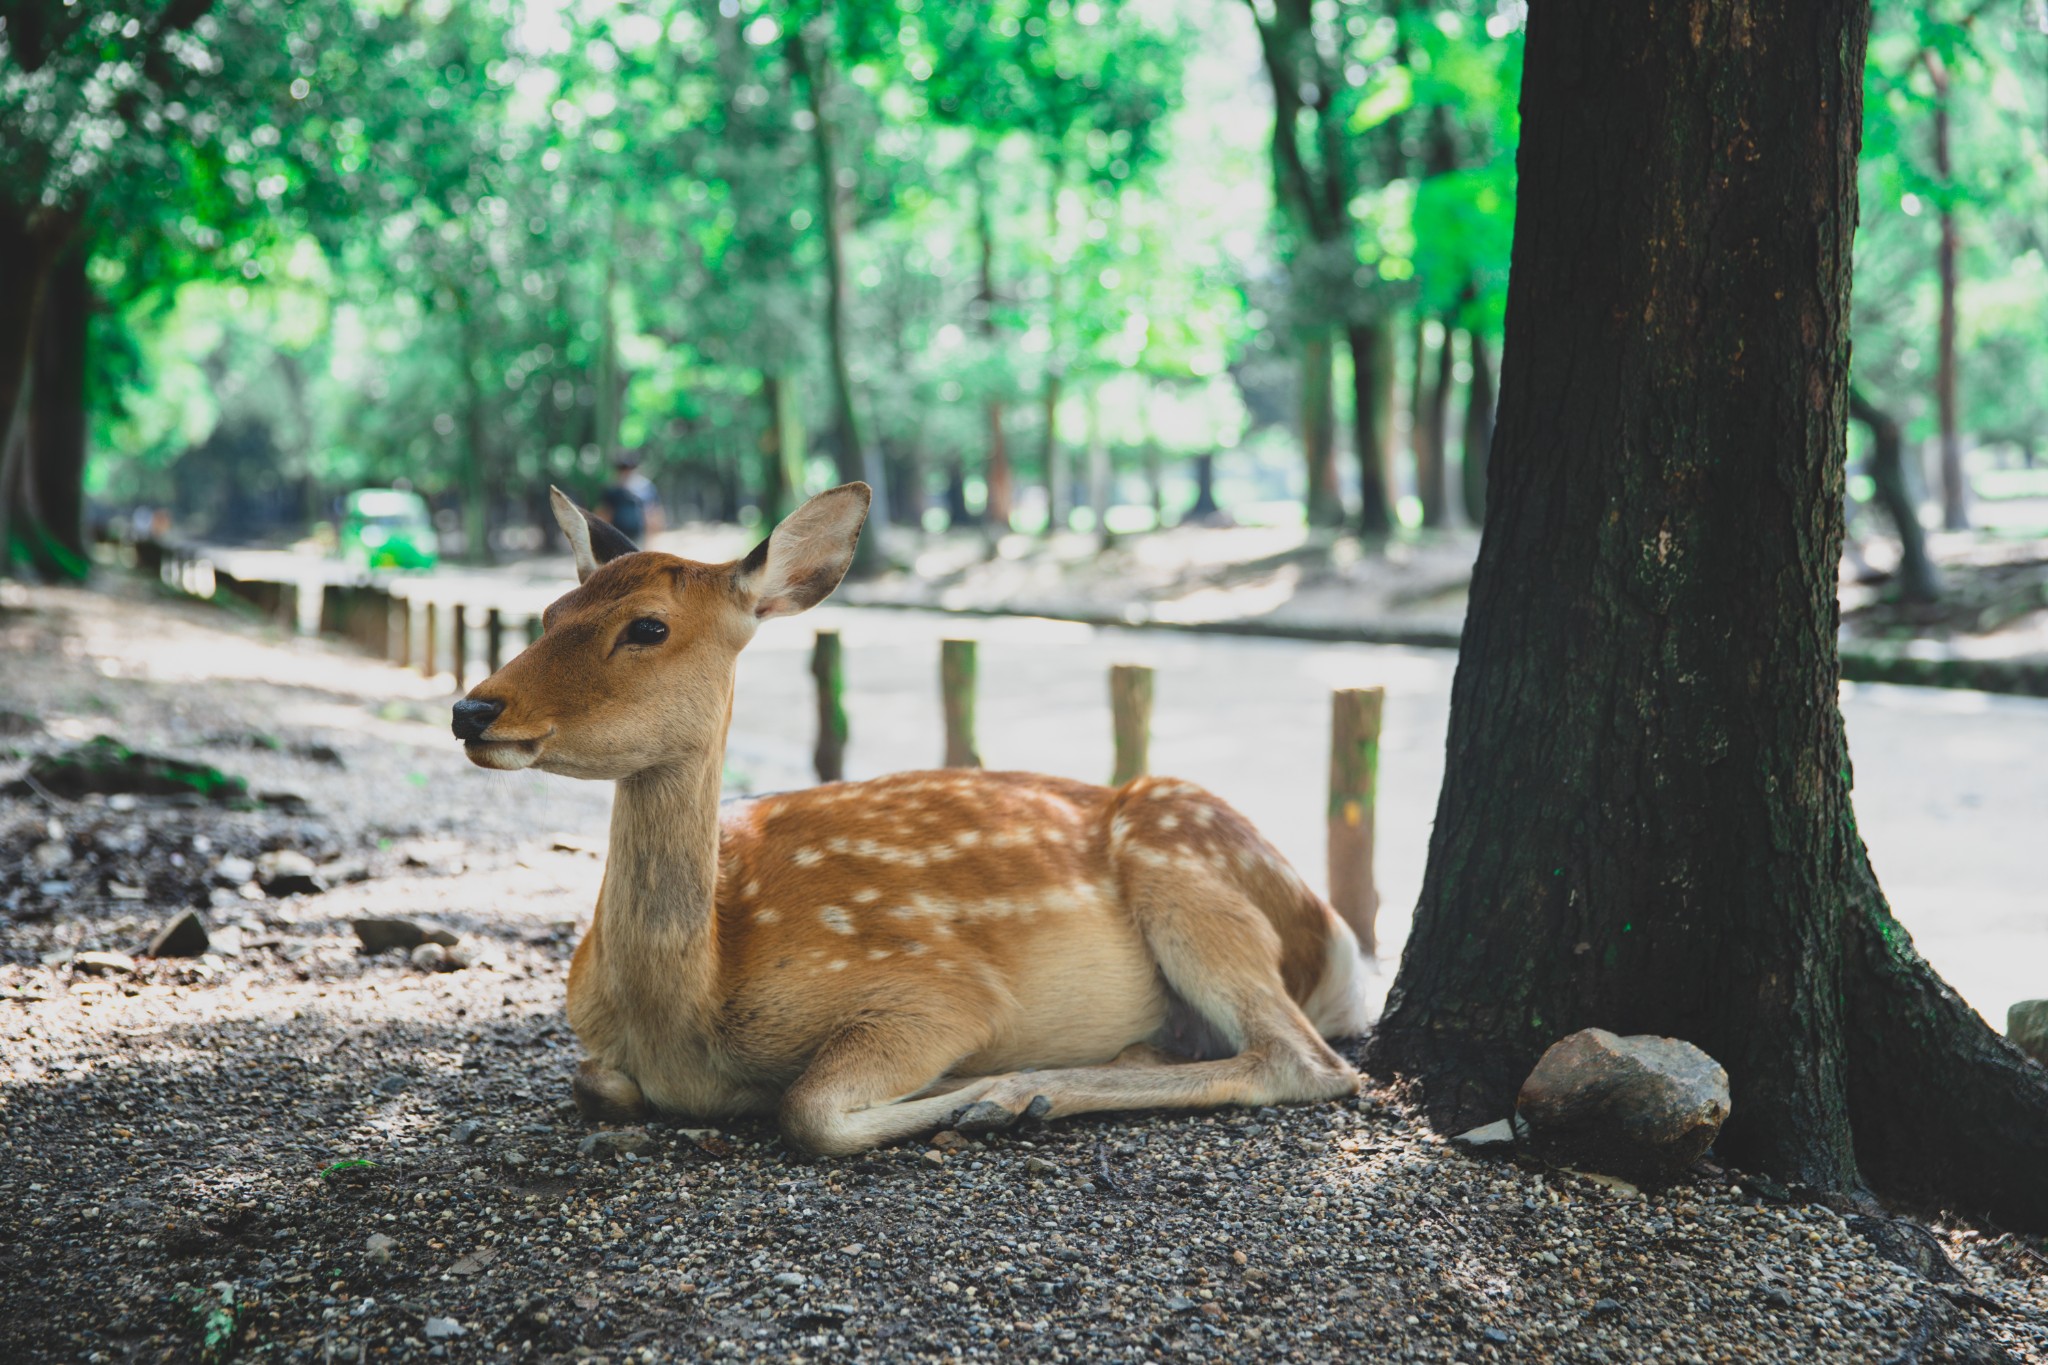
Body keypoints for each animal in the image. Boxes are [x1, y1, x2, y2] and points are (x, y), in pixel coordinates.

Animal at [456, 485, 1368, 1162]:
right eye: (550, 611)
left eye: (648, 625)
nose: (472, 708)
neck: (685, 1016)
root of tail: (1338, 942)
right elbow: (594, 1081)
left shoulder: (939, 990)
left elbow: (808, 1107)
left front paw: (969, 1091)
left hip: (1185, 865)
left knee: (1305, 1061)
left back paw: (1022, 1092)